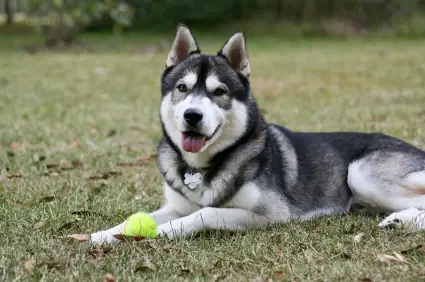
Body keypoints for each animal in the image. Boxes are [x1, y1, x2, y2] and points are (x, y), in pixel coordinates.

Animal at [89, 24, 424, 245]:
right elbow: (135, 218)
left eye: (219, 92)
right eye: (182, 88)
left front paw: (163, 232)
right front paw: (105, 234)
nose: (192, 115)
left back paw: (400, 221)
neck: (203, 166)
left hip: (360, 173)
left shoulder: (272, 213)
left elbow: (206, 213)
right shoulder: (175, 206)